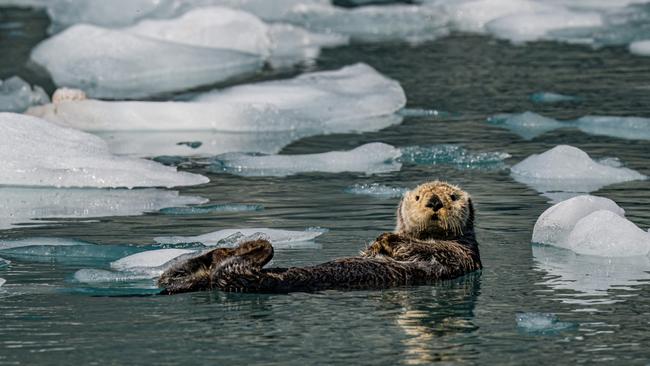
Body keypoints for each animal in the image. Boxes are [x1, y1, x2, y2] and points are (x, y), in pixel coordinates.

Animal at [158, 181, 480, 294]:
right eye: (417, 196)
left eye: (452, 196)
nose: (435, 202)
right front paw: (377, 242)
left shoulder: (461, 254)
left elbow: (427, 249)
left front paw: (387, 238)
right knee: (173, 275)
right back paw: (223, 251)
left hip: (249, 278)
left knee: (232, 269)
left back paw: (254, 245)